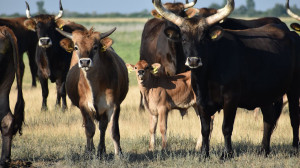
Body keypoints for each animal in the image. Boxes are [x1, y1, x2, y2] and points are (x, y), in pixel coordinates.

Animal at [56, 26, 129, 157]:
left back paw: (101, 150)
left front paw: (118, 154)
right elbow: (90, 129)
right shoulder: (84, 105)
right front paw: (90, 152)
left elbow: (114, 131)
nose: (85, 62)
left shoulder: (114, 106)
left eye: (95, 47)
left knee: (103, 127)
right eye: (76, 47)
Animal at [154, 0, 298, 158]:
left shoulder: (231, 99)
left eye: (203, 39)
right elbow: (205, 129)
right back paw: (263, 150)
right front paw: (204, 154)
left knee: (293, 118)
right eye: (184, 39)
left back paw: (294, 148)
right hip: (265, 95)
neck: (207, 77)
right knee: (269, 119)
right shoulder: (200, 100)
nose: (193, 61)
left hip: (293, 89)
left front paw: (227, 153)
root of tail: (292, 34)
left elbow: (226, 127)